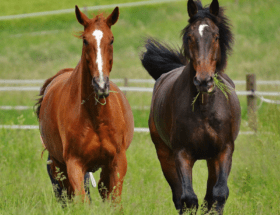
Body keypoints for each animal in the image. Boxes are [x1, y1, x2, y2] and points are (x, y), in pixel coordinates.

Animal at [35, 5, 134, 203]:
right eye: (85, 41)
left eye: (111, 40)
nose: (101, 85)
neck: (95, 117)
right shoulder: (74, 164)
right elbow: (82, 201)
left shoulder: (118, 161)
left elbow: (114, 201)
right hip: (59, 166)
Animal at [141, 0, 242, 213]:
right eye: (189, 36)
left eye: (216, 36)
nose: (203, 81)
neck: (204, 110)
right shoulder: (182, 154)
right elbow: (188, 198)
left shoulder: (224, 150)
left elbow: (219, 194)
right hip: (165, 156)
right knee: (179, 197)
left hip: (212, 159)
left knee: (209, 196)